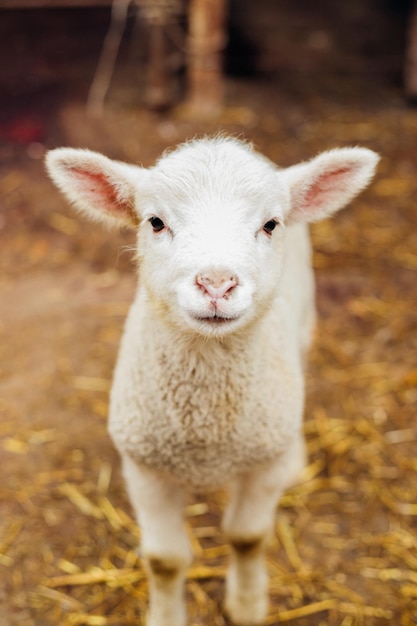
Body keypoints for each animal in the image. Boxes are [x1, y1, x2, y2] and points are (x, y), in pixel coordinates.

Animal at [45, 136, 376, 624]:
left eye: (270, 224)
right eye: (156, 222)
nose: (217, 284)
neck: (206, 429)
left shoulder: (261, 465)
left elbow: (248, 538)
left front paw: (247, 605)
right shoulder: (145, 467)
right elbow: (165, 560)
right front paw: (166, 616)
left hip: (302, 332)